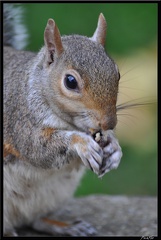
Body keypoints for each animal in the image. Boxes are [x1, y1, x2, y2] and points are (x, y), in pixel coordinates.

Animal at [3, 3, 122, 236]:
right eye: (70, 81)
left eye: (118, 73)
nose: (109, 123)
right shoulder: (20, 121)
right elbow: (37, 149)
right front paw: (82, 144)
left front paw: (114, 148)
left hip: (54, 194)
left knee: (35, 220)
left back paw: (66, 226)